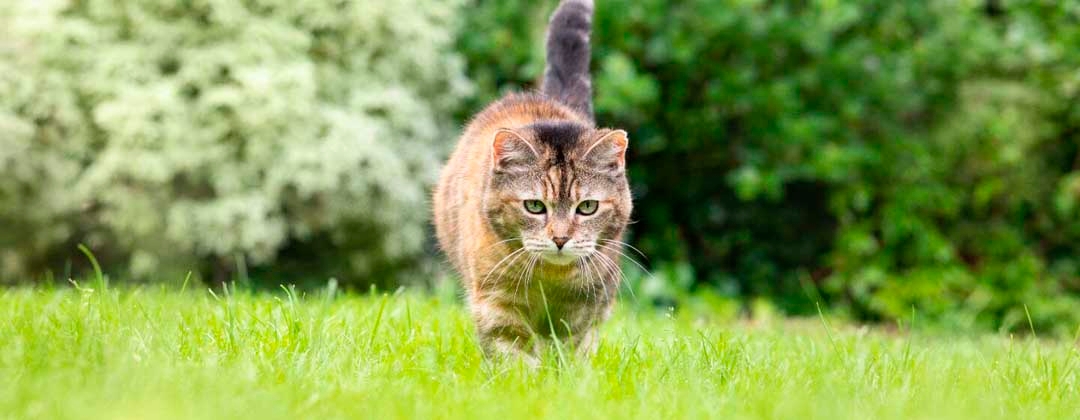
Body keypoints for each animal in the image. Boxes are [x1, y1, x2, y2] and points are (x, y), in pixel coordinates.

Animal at [432, 0, 630, 362]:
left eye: (588, 207)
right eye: (535, 206)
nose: (561, 238)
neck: (550, 278)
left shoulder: (587, 308)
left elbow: (573, 349)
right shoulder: (496, 304)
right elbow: (514, 355)